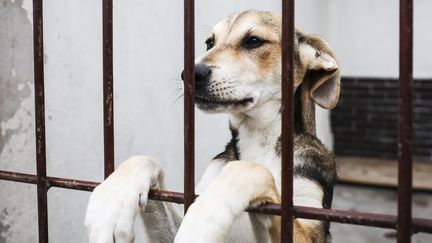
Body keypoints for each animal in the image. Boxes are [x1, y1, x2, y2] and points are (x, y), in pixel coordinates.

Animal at [84, 9, 340, 243]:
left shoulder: (306, 221)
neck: (260, 142)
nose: (190, 73)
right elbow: (145, 159)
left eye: (253, 41)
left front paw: (202, 221)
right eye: (209, 43)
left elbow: (249, 169)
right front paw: (113, 201)